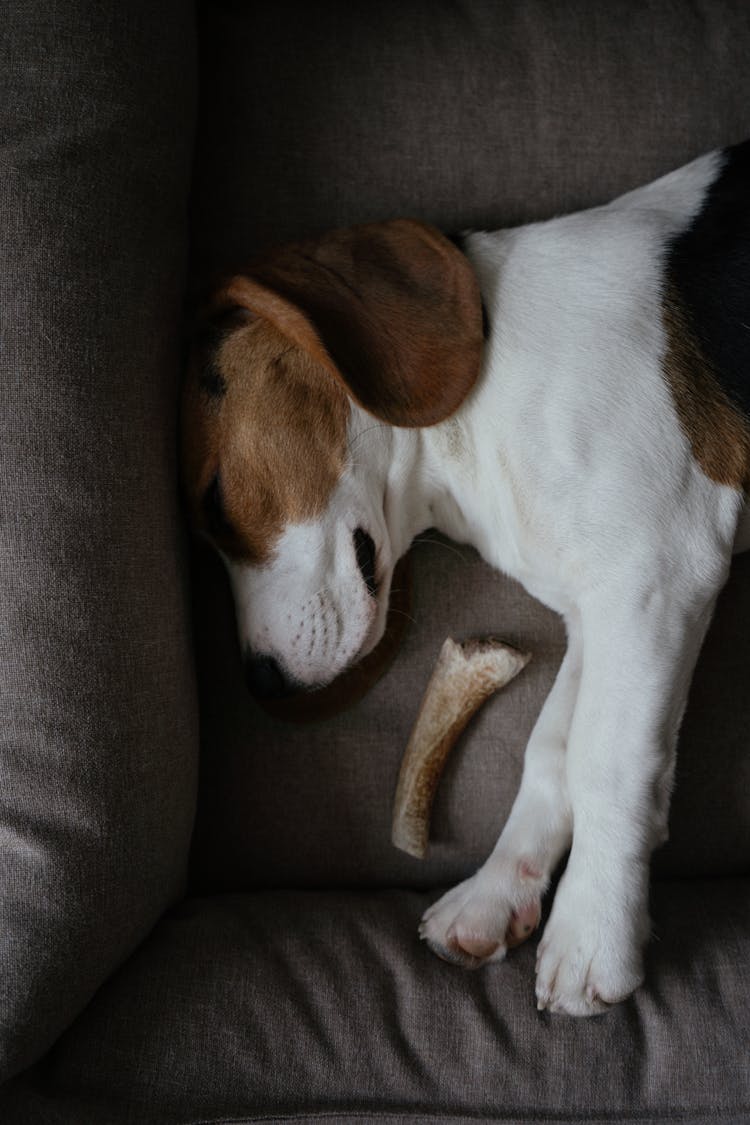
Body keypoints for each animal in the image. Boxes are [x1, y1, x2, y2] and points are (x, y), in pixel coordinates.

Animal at [182, 136, 750, 1017]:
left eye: (213, 500)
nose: (263, 683)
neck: (480, 413)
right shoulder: (600, 609)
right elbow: (552, 751)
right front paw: (500, 888)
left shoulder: (657, 575)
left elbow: (607, 759)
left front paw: (594, 929)